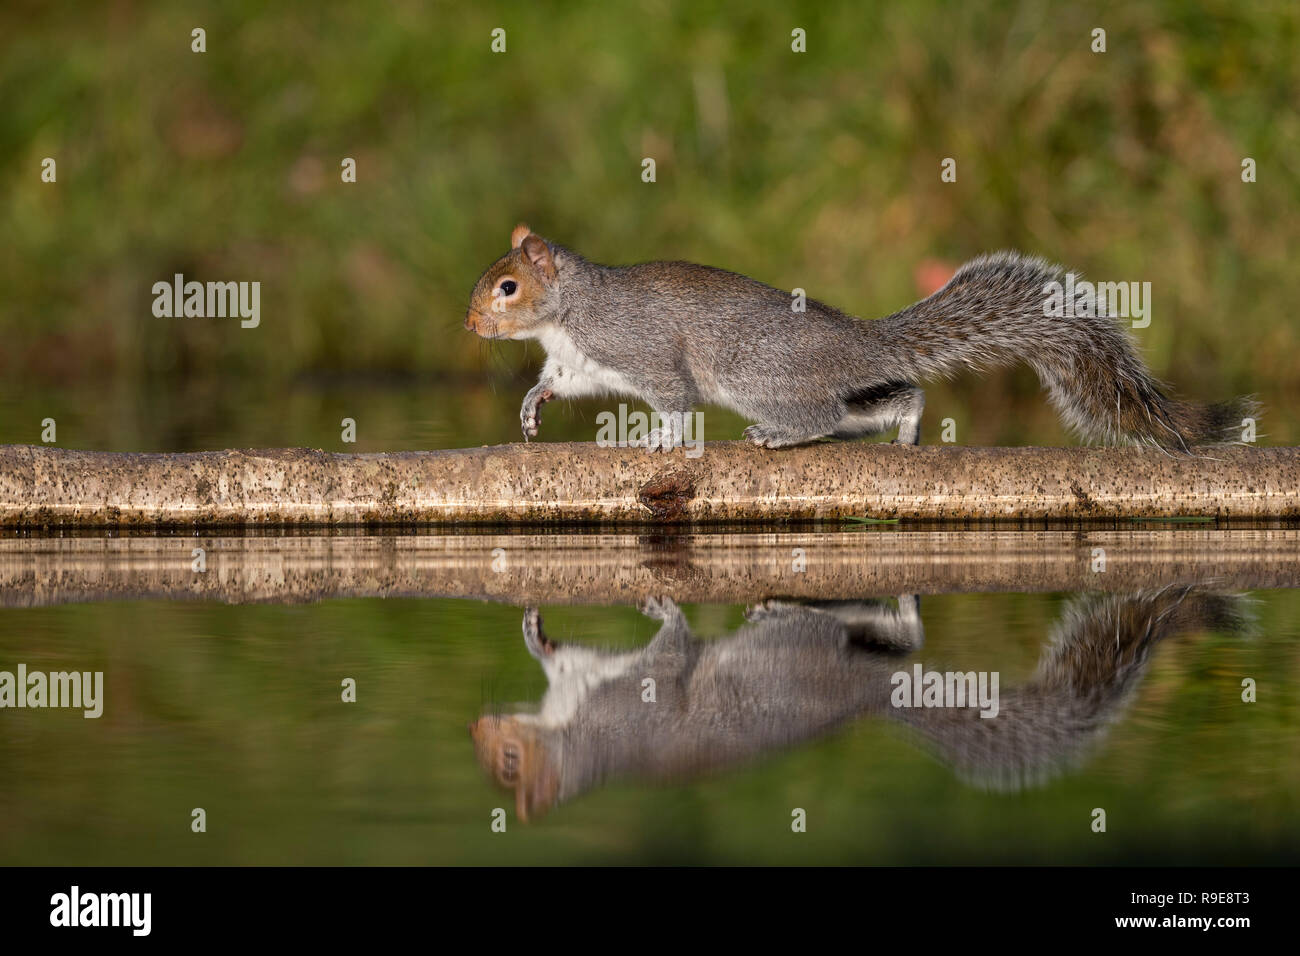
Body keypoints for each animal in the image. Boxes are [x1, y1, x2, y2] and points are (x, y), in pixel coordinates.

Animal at [462, 223, 1253, 452]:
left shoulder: (641, 349)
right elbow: (557, 384)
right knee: (884, 401)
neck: (568, 312)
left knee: (818, 417)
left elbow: (675, 400)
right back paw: (904, 430)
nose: (470, 323)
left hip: (758, 377)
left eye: (508, 288)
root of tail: (867, 340)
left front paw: (660, 440)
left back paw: (780, 437)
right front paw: (530, 409)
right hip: (846, 390)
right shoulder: (577, 363)